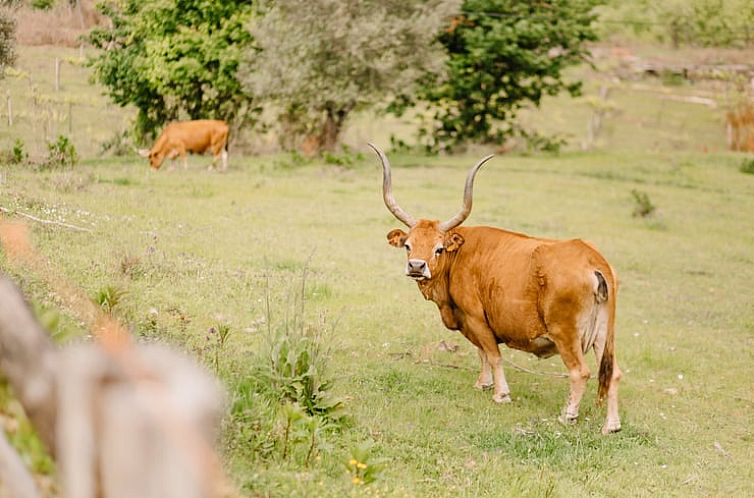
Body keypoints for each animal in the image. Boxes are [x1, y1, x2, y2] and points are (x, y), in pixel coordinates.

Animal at [370, 142, 624, 434]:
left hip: (566, 334)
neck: (460, 254)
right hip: (604, 335)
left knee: (579, 372)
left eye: (439, 248)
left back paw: (568, 415)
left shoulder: (475, 317)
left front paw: (501, 393)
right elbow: (482, 352)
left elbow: (492, 354)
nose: (416, 266)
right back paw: (611, 425)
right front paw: (484, 383)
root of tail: (592, 259)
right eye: (408, 245)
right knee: (613, 373)